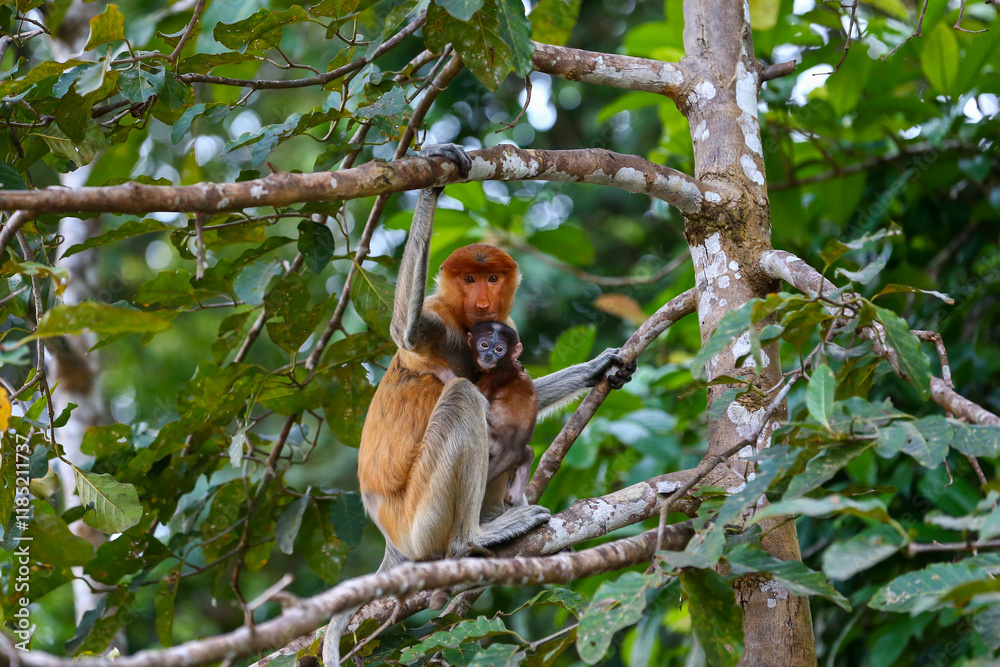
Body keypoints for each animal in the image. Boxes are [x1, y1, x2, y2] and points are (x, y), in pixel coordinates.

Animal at [322, 145, 637, 665]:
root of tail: (391, 540)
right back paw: (476, 536)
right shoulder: (439, 323)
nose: (485, 304)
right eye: (468, 279)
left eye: (492, 278)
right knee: (463, 399)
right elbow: (407, 333)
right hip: (420, 519)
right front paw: (433, 182)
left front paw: (602, 366)